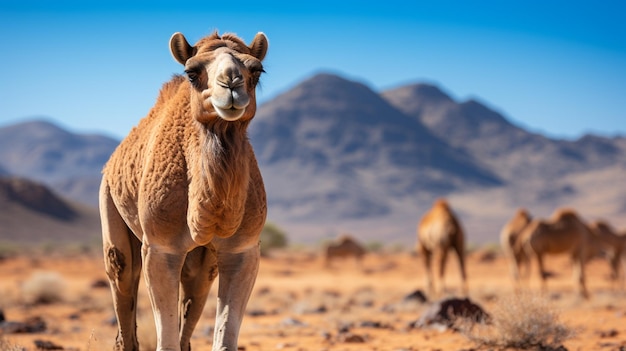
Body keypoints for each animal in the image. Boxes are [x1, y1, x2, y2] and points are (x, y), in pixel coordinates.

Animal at [100, 31, 268, 351]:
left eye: (256, 71)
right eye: (192, 73)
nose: (231, 83)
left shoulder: (244, 250)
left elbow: (223, 340)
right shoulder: (160, 247)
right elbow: (165, 342)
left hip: (202, 264)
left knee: (193, 293)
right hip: (110, 207)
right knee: (123, 275)